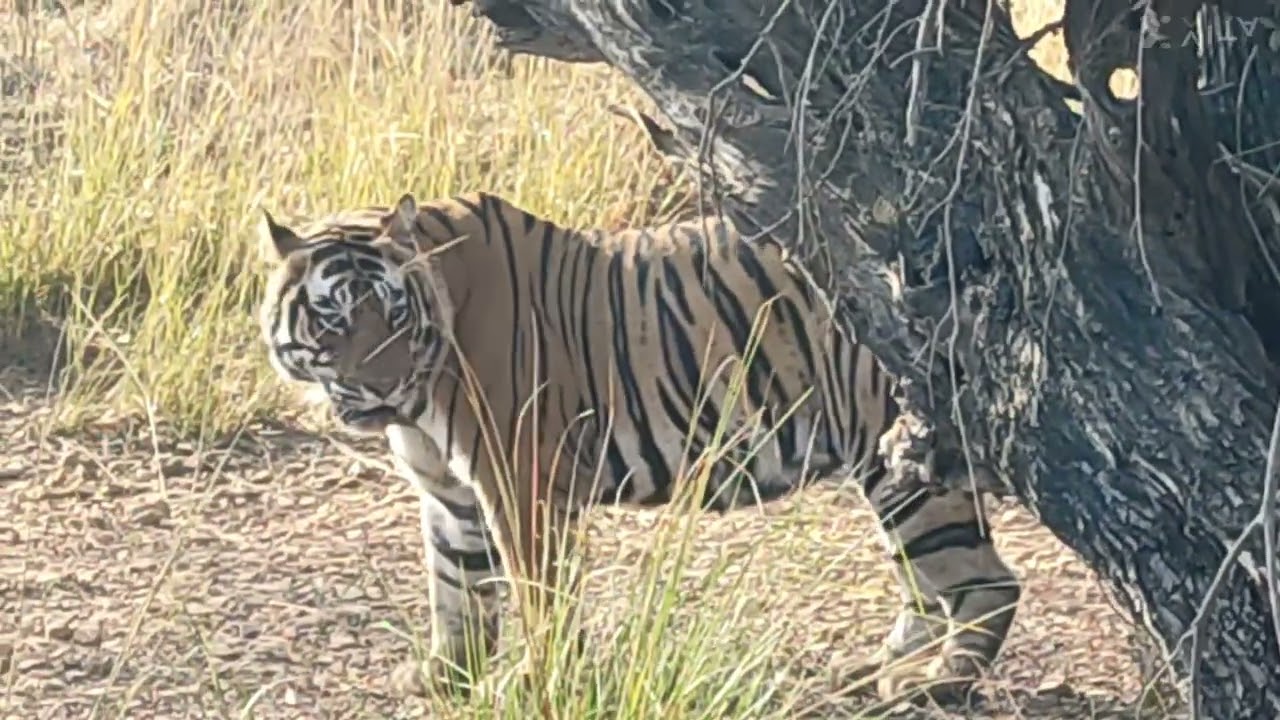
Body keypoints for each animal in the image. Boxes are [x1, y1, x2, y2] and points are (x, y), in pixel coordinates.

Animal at [256, 190, 1022, 705]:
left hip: (909, 468)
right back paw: (874, 670)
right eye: (332, 318)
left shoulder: (522, 483)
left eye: (394, 312)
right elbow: (456, 585)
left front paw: (532, 682)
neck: (419, 395)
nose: (380, 387)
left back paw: (934, 685)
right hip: (892, 468)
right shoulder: (450, 493)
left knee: (987, 582)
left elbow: (536, 597)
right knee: (925, 584)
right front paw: (445, 676)